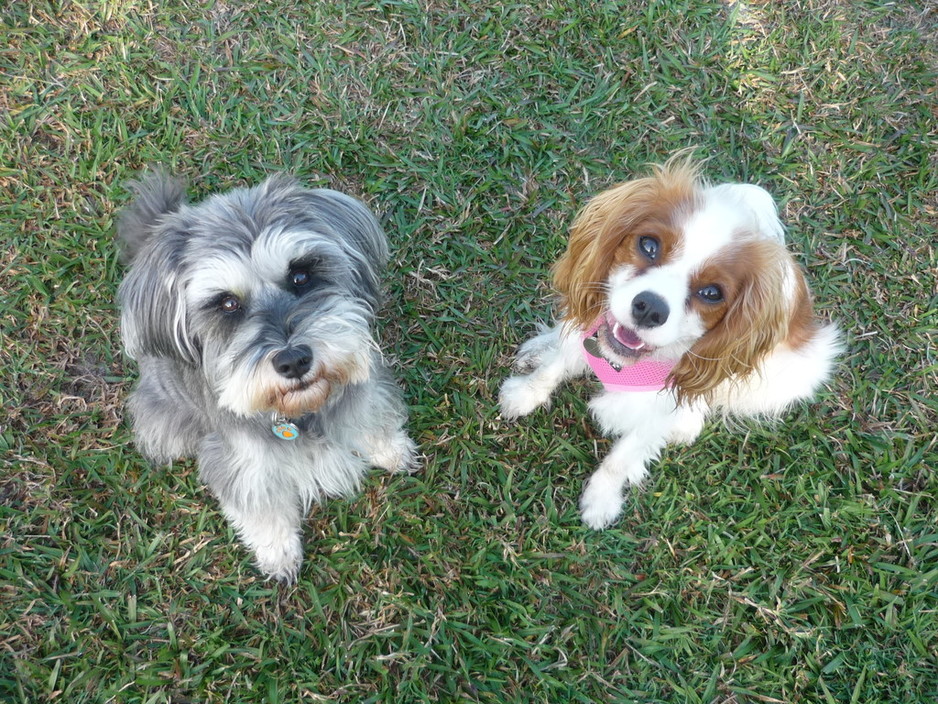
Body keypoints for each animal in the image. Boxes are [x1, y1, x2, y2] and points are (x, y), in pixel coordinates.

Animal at [116, 172, 414, 584]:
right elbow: (263, 512)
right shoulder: (243, 464)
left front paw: (392, 450)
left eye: (301, 275)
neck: (300, 413)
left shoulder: (362, 391)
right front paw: (279, 556)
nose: (293, 361)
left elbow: (373, 421)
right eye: (227, 303)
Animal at [500, 154, 836, 528]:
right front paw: (524, 394)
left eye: (712, 293)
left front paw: (601, 501)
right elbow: (553, 368)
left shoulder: (660, 408)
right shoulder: (589, 331)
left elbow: (624, 456)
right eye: (649, 245)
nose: (650, 308)